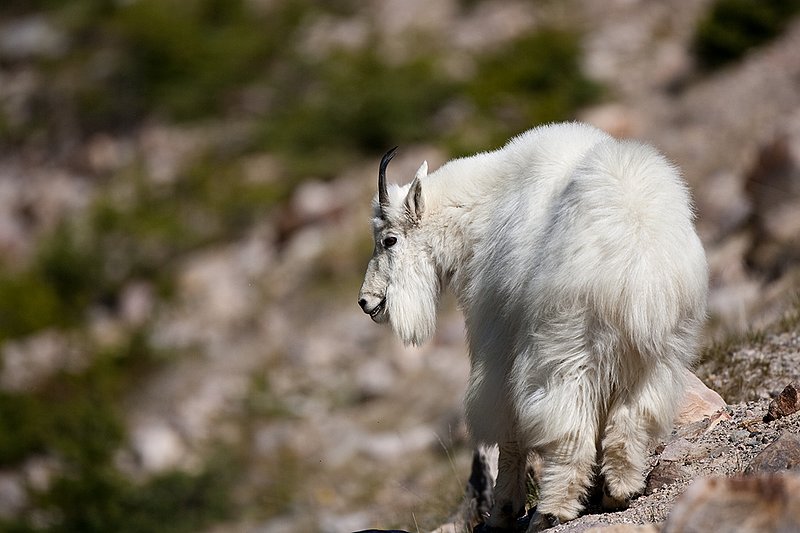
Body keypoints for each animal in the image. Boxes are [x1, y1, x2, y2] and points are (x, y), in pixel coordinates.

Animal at [358, 122, 707, 531]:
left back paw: (552, 510)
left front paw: (501, 512)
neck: (478, 212)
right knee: (634, 416)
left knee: (568, 423)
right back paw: (618, 492)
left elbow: (506, 431)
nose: (367, 302)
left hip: (566, 344)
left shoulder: (496, 340)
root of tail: (636, 253)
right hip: (659, 351)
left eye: (389, 240)